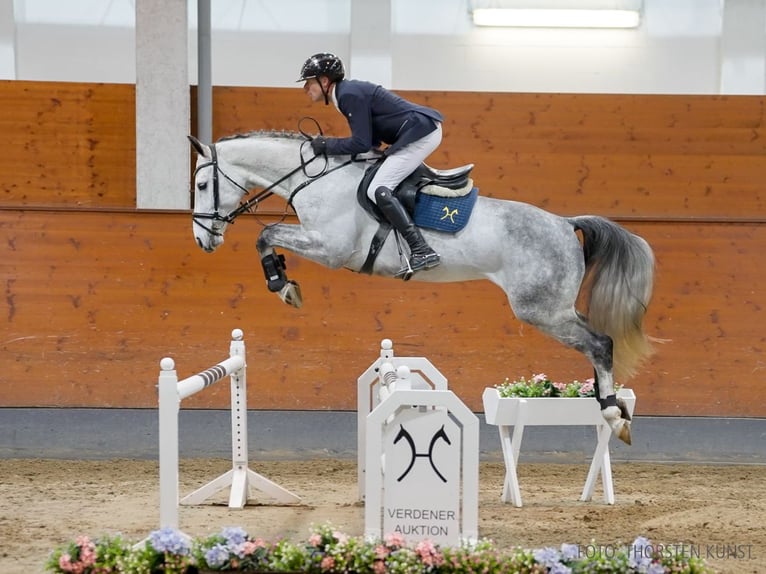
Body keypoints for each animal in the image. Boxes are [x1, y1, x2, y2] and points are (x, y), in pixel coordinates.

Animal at [189, 129, 656, 446]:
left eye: (201, 185)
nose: (201, 240)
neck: (315, 178)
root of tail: (564, 223)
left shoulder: (331, 248)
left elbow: (265, 233)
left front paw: (281, 284)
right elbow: (267, 235)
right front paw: (283, 280)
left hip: (540, 309)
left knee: (600, 344)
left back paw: (613, 415)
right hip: (556, 308)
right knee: (597, 342)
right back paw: (609, 405)